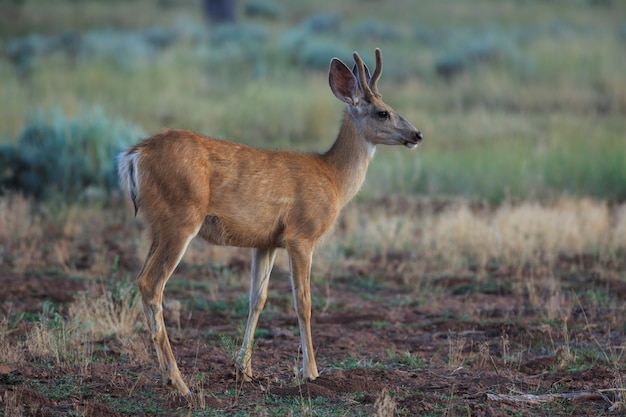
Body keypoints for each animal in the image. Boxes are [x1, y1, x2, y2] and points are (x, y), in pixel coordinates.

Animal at [116, 48, 422, 394]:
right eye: (383, 112)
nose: (417, 134)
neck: (333, 177)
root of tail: (133, 156)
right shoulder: (301, 235)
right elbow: (303, 302)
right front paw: (310, 372)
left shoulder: (265, 242)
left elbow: (257, 299)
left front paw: (244, 369)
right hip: (181, 218)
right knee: (151, 283)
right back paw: (178, 381)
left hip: (158, 224)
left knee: (142, 279)